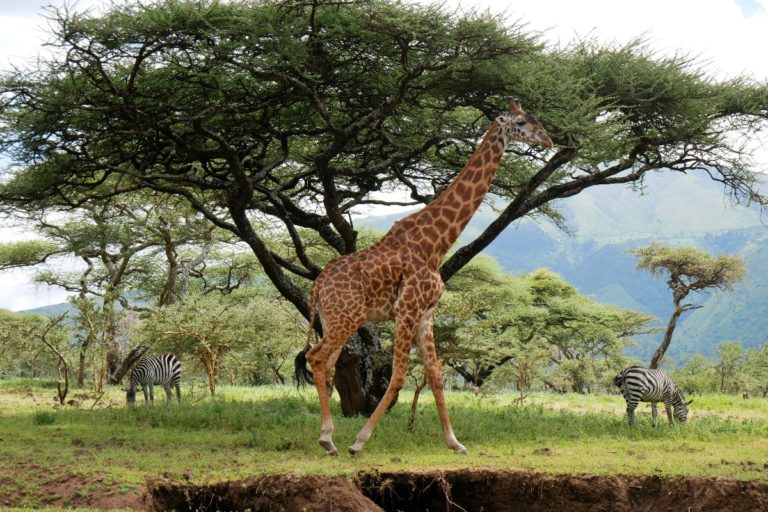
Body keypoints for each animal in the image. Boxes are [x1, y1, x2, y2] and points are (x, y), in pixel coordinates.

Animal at [298, 97, 552, 456]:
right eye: (521, 123)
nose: (549, 140)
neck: (436, 244)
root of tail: (318, 284)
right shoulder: (406, 309)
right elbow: (399, 376)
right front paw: (360, 441)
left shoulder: (426, 312)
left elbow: (435, 375)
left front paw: (455, 442)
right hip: (347, 316)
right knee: (317, 358)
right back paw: (329, 440)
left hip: (334, 319)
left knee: (326, 362)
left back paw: (329, 439)